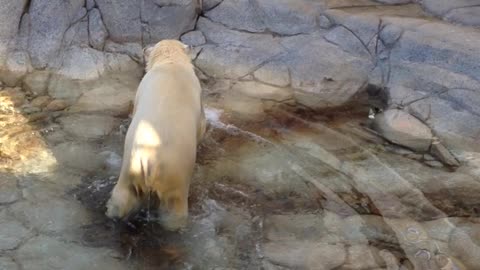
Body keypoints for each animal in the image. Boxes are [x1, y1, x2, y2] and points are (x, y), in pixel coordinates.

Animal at [105, 39, 206, 230]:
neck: (170, 63)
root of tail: (149, 161)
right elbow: (201, 126)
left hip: (130, 167)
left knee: (123, 196)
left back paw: (112, 213)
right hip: (175, 173)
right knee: (173, 207)